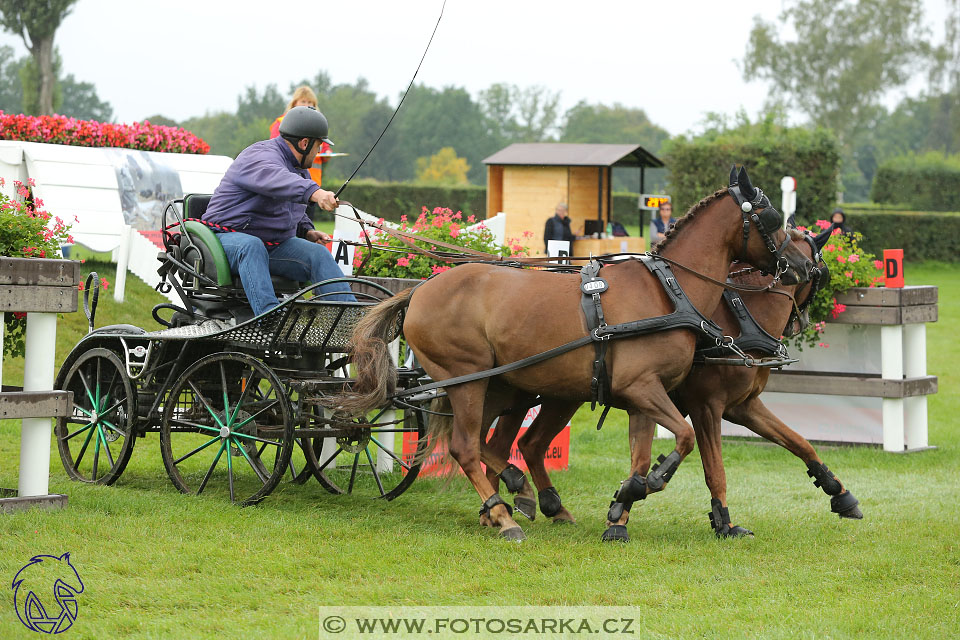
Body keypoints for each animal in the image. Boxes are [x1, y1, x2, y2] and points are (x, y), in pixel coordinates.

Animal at [334, 166, 812, 540]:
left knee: (505, 443)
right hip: (469, 380)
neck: (668, 292)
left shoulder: (644, 395)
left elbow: (645, 453)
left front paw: (625, 502)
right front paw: (644, 486)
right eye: (771, 217)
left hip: (510, 388)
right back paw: (506, 516)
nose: (803, 266)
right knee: (467, 447)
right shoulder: (647, 389)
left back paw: (522, 496)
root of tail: (419, 291)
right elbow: (685, 439)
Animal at [480, 230, 864, 540]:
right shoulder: (706, 406)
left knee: (520, 444)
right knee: (503, 442)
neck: (737, 318)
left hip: (551, 394)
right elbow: (714, 469)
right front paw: (721, 521)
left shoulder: (743, 406)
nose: (800, 324)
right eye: (821, 273)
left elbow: (799, 442)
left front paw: (838, 492)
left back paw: (520, 505)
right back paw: (505, 506)